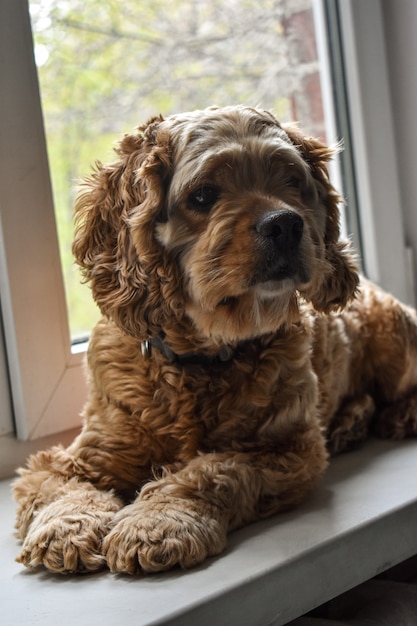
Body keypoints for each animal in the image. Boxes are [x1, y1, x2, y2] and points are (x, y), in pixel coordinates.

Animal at [12, 103, 416, 576]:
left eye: (291, 181)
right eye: (203, 195)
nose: (285, 224)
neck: (201, 359)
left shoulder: (285, 450)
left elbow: (211, 469)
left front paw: (158, 522)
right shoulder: (82, 455)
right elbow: (60, 485)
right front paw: (66, 527)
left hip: (394, 341)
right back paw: (351, 423)